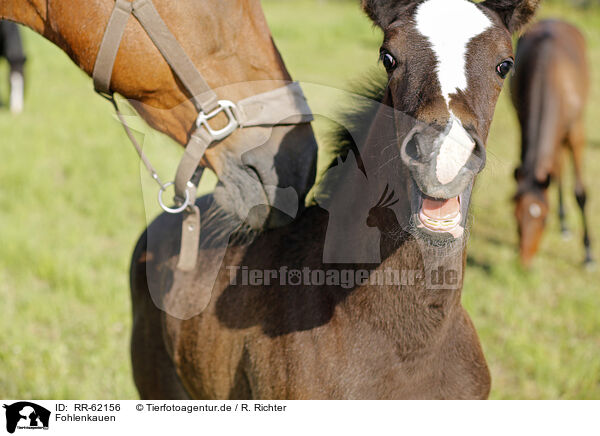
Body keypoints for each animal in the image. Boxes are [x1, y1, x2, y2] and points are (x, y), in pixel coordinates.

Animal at [510, 20, 592, 268]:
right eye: (516, 216)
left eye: (544, 219)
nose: (524, 261)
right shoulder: (522, 120)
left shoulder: (576, 131)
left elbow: (580, 193)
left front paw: (588, 253)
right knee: (556, 170)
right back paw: (564, 222)